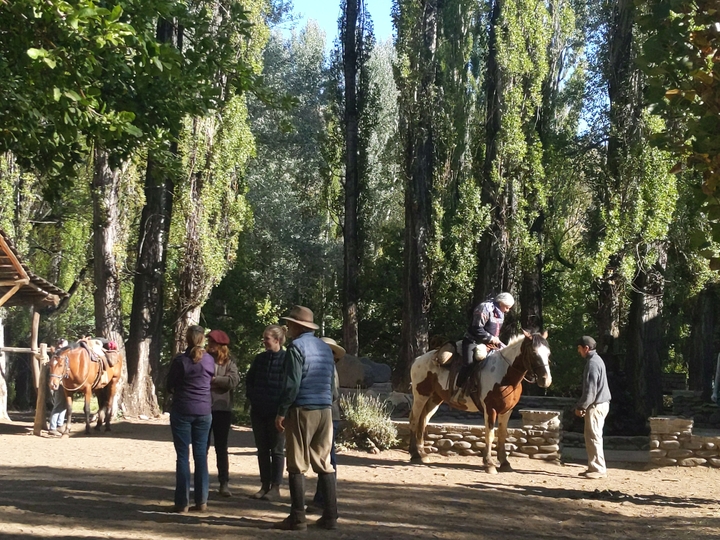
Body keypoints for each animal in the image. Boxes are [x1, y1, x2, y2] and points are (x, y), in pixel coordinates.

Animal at [410, 330, 552, 472]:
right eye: (533, 353)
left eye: (548, 353)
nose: (546, 380)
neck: (505, 376)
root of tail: (418, 360)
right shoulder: (490, 409)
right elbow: (490, 434)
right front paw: (489, 463)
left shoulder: (507, 411)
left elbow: (502, 434)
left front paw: (505, 462)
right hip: (420, 396)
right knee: (414, 420)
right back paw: (415, 454)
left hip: (435, 399)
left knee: (423, 420)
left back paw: (423, 454)